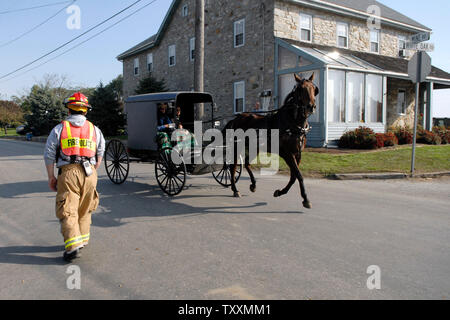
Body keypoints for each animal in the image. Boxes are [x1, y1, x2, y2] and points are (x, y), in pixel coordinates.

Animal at [223, 73, 318, 209]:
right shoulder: (287, 153)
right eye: (300, 89)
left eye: (314, 89)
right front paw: (305, 199)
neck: (292, 123)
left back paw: (253, 185)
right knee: (233, 166)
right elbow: (298, 175)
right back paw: (235, 189)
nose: (311, 106)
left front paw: (280, 192)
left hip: (254, 147)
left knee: (246, 163)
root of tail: (236, 118)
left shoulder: (298, 153)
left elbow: (294, 176)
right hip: (238, 147)